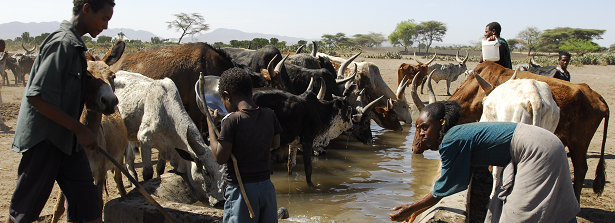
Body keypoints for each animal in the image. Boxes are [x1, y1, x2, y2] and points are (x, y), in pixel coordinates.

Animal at [113, 71, 226, 206]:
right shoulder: (144, 139)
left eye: (223, 172)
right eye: (206, 171)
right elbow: (147, 173)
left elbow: (160, 170)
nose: (220, 202)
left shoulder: (165, 147)